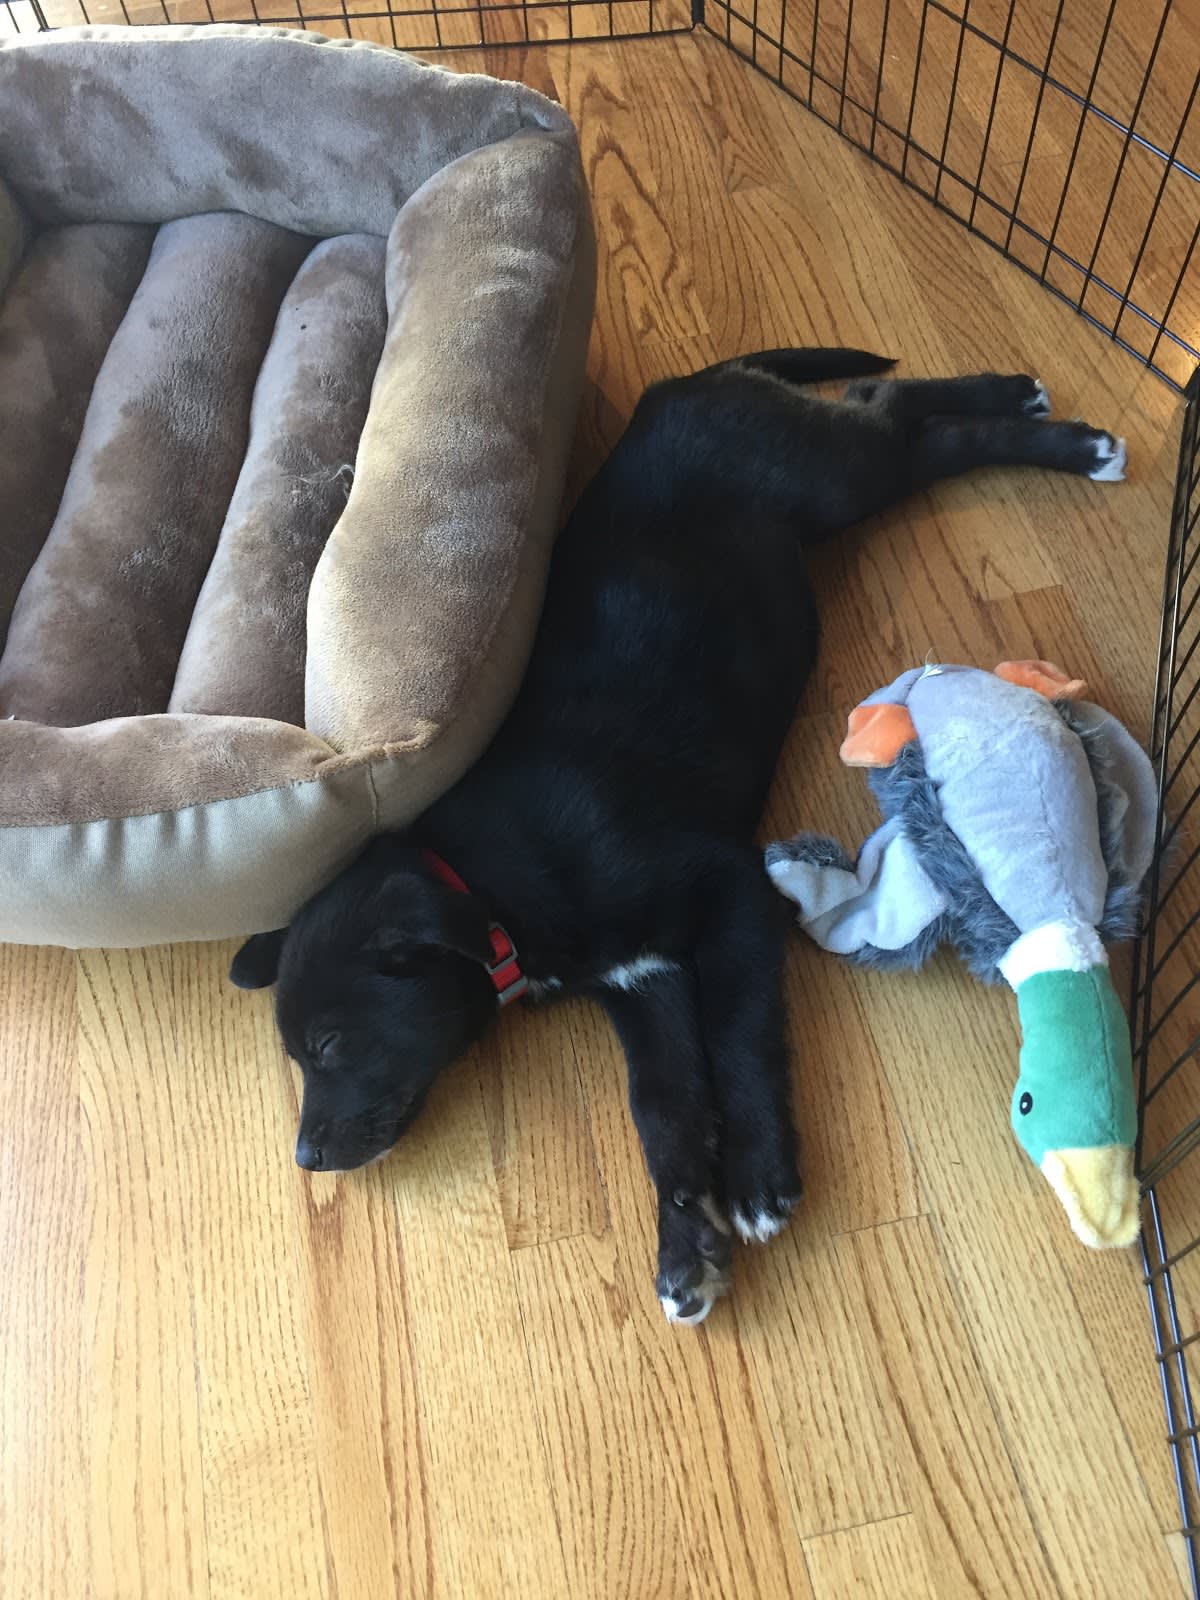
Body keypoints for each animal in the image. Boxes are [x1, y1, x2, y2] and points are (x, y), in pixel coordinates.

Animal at [232, 350, 1126, 1324]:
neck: (486, 882)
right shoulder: (644, 978)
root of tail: (690, 383)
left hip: (831, 480)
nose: (307, 1158)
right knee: (877, 404)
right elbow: (664, 1109)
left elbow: (739, 1031)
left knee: (896, 416)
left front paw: (761, 1177)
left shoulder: (732, 892)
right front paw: (686, 1242)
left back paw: (1064, 435)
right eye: (298, 1055)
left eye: (329, 1046)